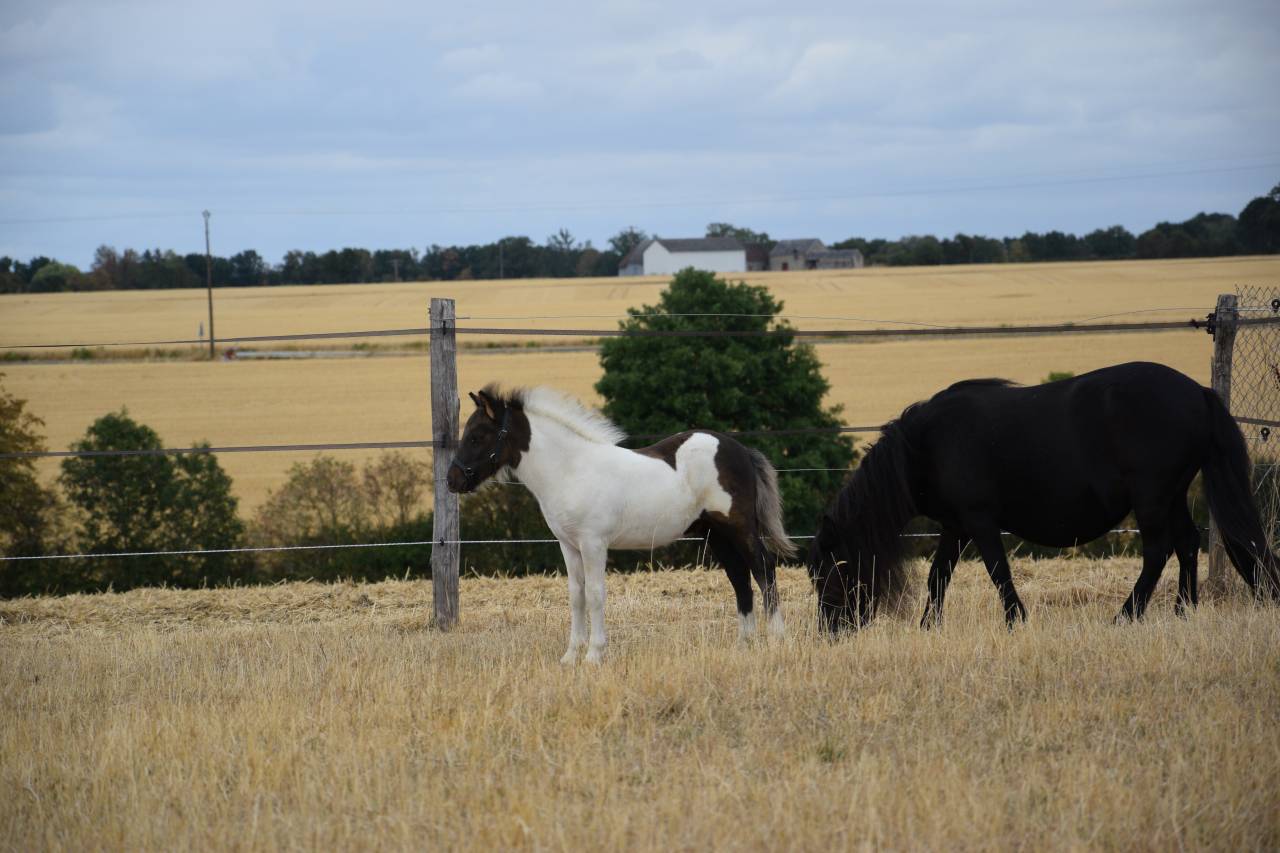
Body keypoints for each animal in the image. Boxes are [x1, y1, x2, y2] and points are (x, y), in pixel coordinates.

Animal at [445, 385, 798, 663]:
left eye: (477, 436)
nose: (452, 480)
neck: (570, 470)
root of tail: (741, 450)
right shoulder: (568, 545)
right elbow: (576, 595)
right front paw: (570, 656)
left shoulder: (593, 543)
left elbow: (596, 594)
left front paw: (594, 655)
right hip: (716, 534)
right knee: (740, 578)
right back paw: (744, 644)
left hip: (740, 527)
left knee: (764, 570)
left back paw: (777, 638)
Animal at [807, 361, 1280, 633]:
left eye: (831, 570)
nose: (830, 630)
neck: (926, 446)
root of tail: (1198, 392)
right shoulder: (955, 525)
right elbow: (938, 575)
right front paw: (928, 627)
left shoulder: (979, 522)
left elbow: (998, 572)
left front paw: (1016, 621)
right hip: (1173, 495)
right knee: (1186, 544)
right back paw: (1183, 612)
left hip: (1151, 499)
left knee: (1157, 552)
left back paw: (1125, 617)